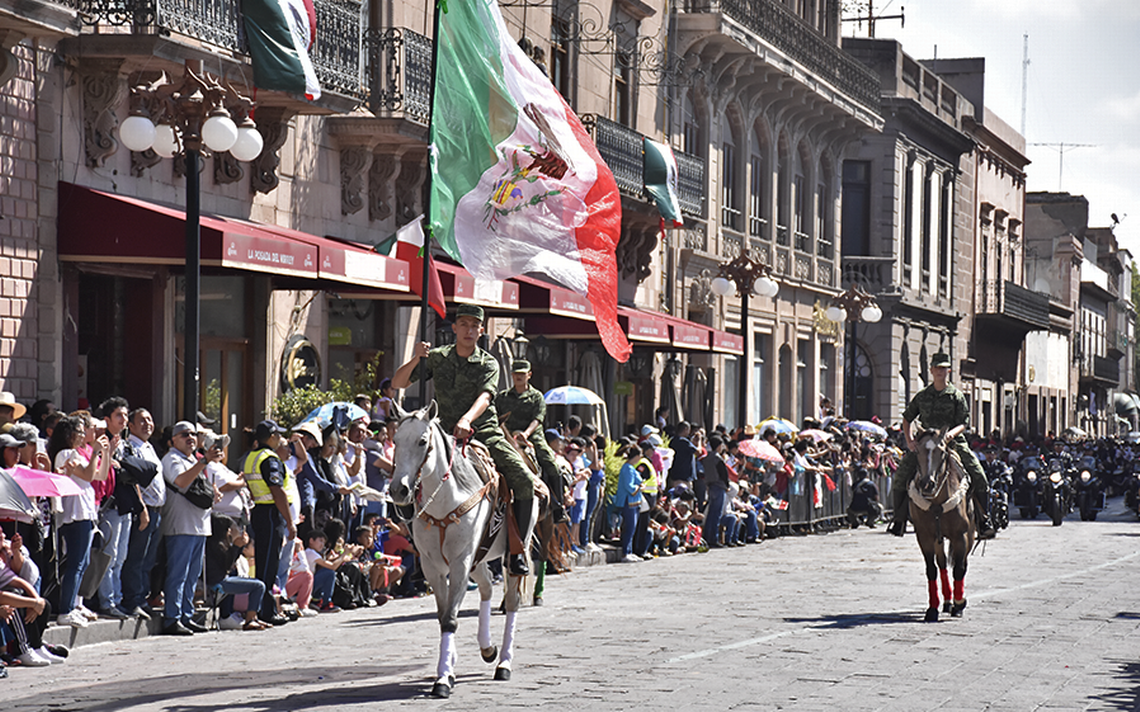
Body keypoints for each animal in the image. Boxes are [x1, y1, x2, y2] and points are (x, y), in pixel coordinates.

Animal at [389, 403, 535, 697]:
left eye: (422, 441)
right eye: (395, 441)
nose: (399, 490)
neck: (445, 503)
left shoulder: (459, 562)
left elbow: (450, 619)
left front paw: (443, 679)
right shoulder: (433, 567)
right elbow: (443, 615)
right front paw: (449, 667)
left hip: (511, 554)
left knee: (511, 602)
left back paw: (504, 663)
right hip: (478, 559)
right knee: (487, 588)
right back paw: (487, 648)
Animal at [907, 423, 971, 619]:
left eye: (941, 452)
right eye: (917, 451)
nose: (927, 484)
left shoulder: (961, 535)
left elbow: (959, 568)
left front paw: (960, 604)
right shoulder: (924, 536)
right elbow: (932, 569)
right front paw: (932, 609)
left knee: (962, 564)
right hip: (938, 538)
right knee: (942, 564)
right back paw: (947, 601)